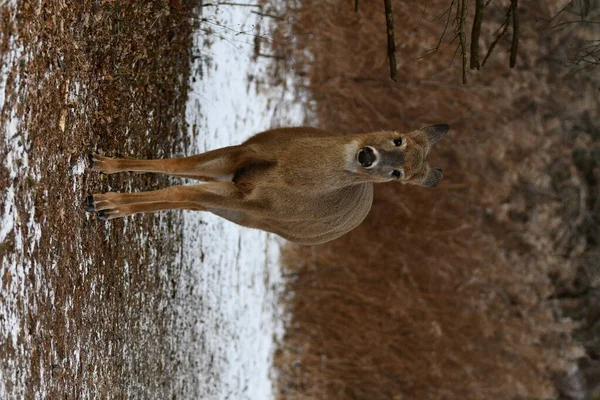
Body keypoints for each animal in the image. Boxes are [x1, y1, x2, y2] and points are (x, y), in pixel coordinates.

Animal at [86, 124, 448, 244]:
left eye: (398, 175)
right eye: (398, 139)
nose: (368, 157)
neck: (287, 172)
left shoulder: (246, 201)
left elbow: (177, 190)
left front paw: (106, 204)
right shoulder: (244, 153)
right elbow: (175, 165)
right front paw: (103, 163)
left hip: (245, 214)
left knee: (188, 196)